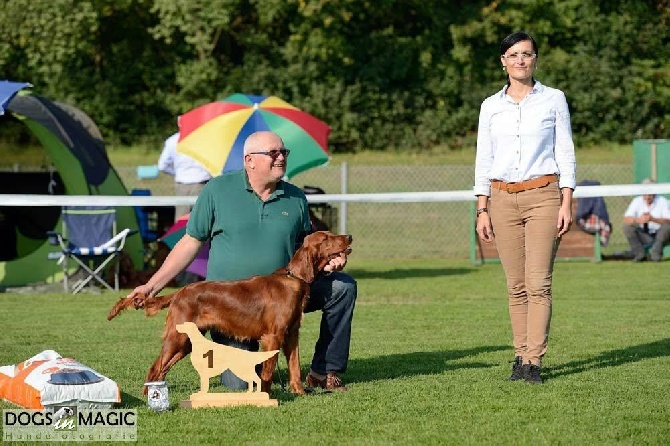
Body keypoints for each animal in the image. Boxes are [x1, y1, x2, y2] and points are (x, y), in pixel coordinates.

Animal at [106, 232, 352, 396]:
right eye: (326, 238)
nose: (349, 237)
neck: (293, 279)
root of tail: (179, 292)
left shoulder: (291, 335)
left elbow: (294, 367)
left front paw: (299, 392)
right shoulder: (273, 336)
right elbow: (268, 371)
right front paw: (265, 396)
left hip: (186, 343)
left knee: (161, 369)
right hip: (178, 338)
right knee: (154, 368)